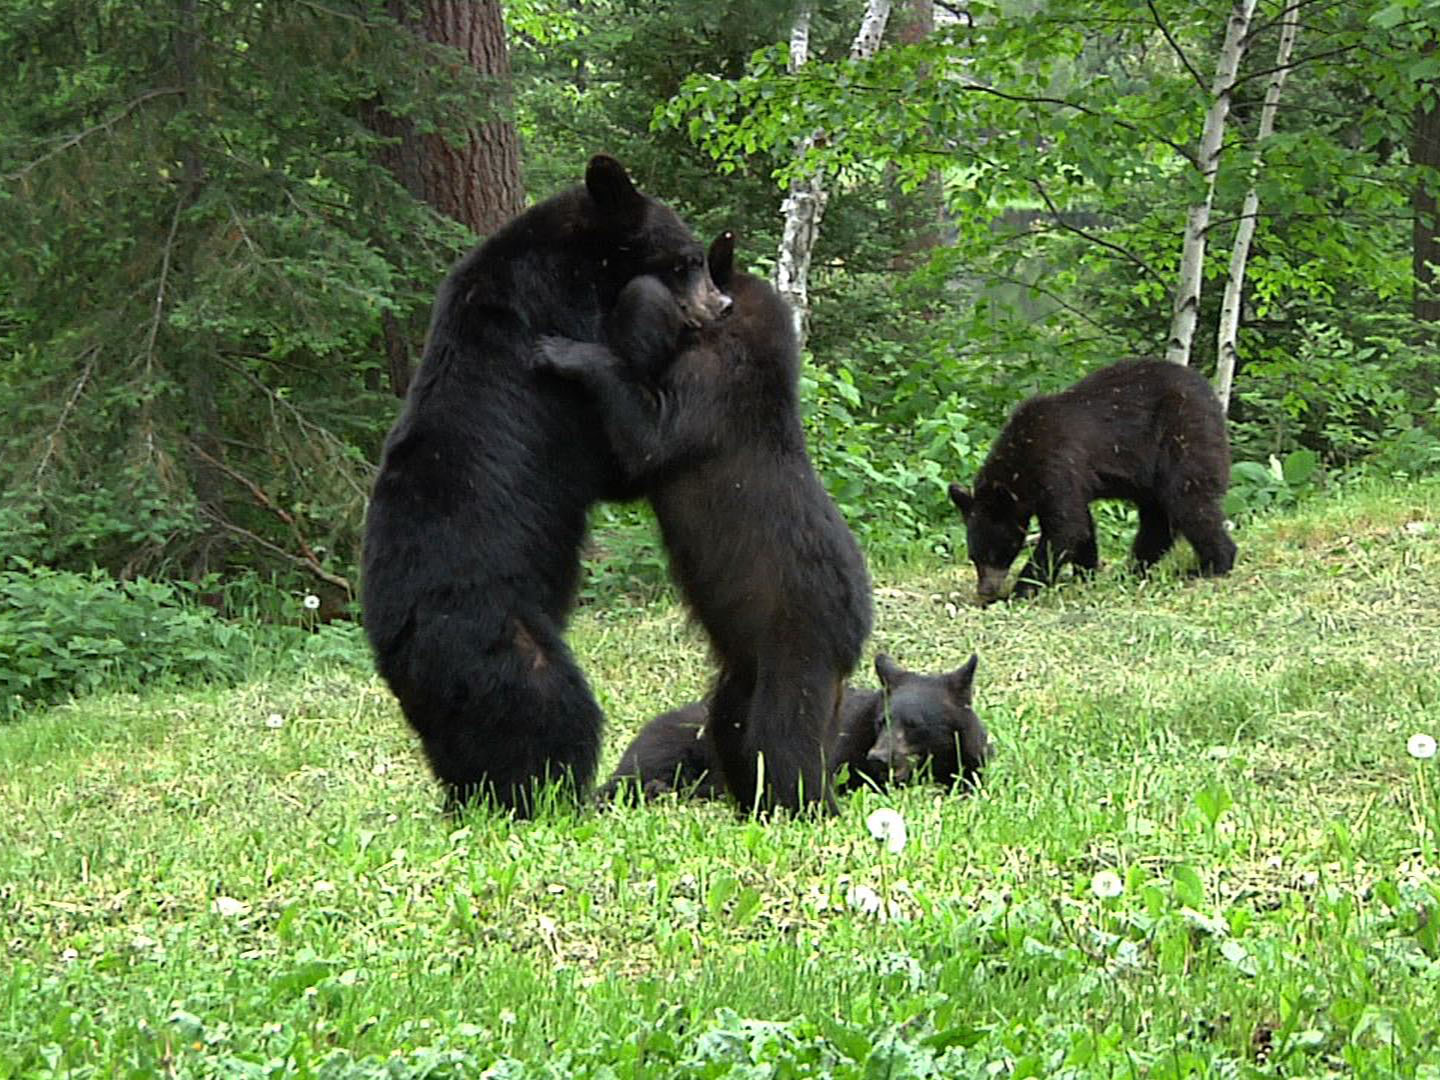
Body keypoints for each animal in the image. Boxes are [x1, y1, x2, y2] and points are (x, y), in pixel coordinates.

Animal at [361, 155, 728, 817]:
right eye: (687, 260)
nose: (723, 305)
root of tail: (395, 646)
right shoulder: (558, 364)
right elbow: (619, 460)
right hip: (502, 639)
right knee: (549, 710)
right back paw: (565, 794)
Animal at [535, 232, 873, 816]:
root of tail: (853, 643)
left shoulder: (709, 395)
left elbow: (646, 443)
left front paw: (567, 353)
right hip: (744, 667)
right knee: (732, 725)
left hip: (797, 641)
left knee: (785, 736)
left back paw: (807, 806)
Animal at [948, 359, 1236, 603]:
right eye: (973, 555)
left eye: (996, 552)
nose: (985, 590)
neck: (1023, 456)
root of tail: (1212, 397)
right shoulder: (1067, 483)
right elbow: (1082, 526)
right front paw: (1085, 574)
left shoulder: (1058, 464)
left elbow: (1065, 529)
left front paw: (1022, 590)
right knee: (1158, 518)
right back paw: (1132, 570)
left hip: (1183, 436)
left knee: (1188, 502)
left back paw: (1211, 566)